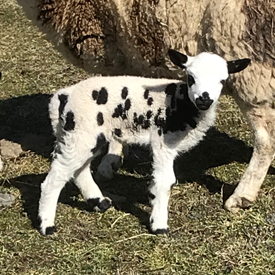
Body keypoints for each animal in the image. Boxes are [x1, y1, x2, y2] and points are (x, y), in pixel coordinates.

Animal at [37, 49, 251, 235]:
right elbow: (165, 181)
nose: (204, 100)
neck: (182, 103)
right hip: (82, 133)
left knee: (79, 169)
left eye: (222, 80)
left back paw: (99, 202)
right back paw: (47, 225)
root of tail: (62, 96)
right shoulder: (163, 143)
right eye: (191, 78)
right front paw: (159, 225)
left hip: (83, 135)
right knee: (56, 177)